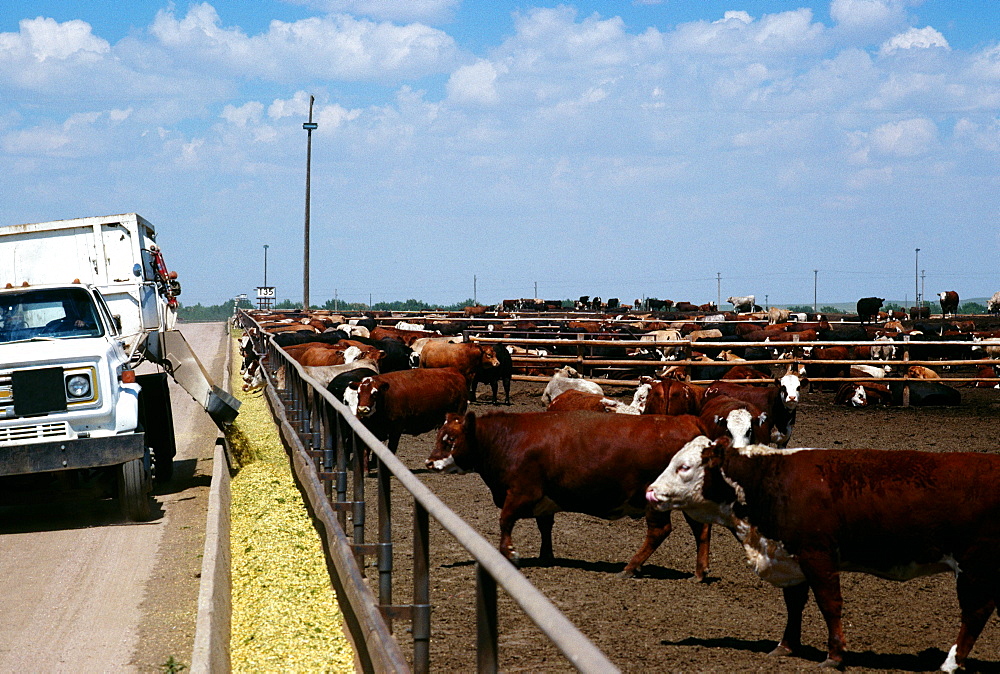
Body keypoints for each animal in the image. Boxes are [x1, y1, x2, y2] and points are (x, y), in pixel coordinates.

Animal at [426, 410, 716, 576]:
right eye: (440, 435)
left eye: (450, 440)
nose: (429, 462)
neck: (508, 438)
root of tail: (687, 420)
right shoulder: (543, 501)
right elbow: (545, 526)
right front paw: (545, 556)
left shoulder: (522, 492)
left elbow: (505, 521)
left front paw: (509, 553)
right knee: (701, 529)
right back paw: (700, 571)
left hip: (654, 501)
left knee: (659, 531)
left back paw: (630, 567)